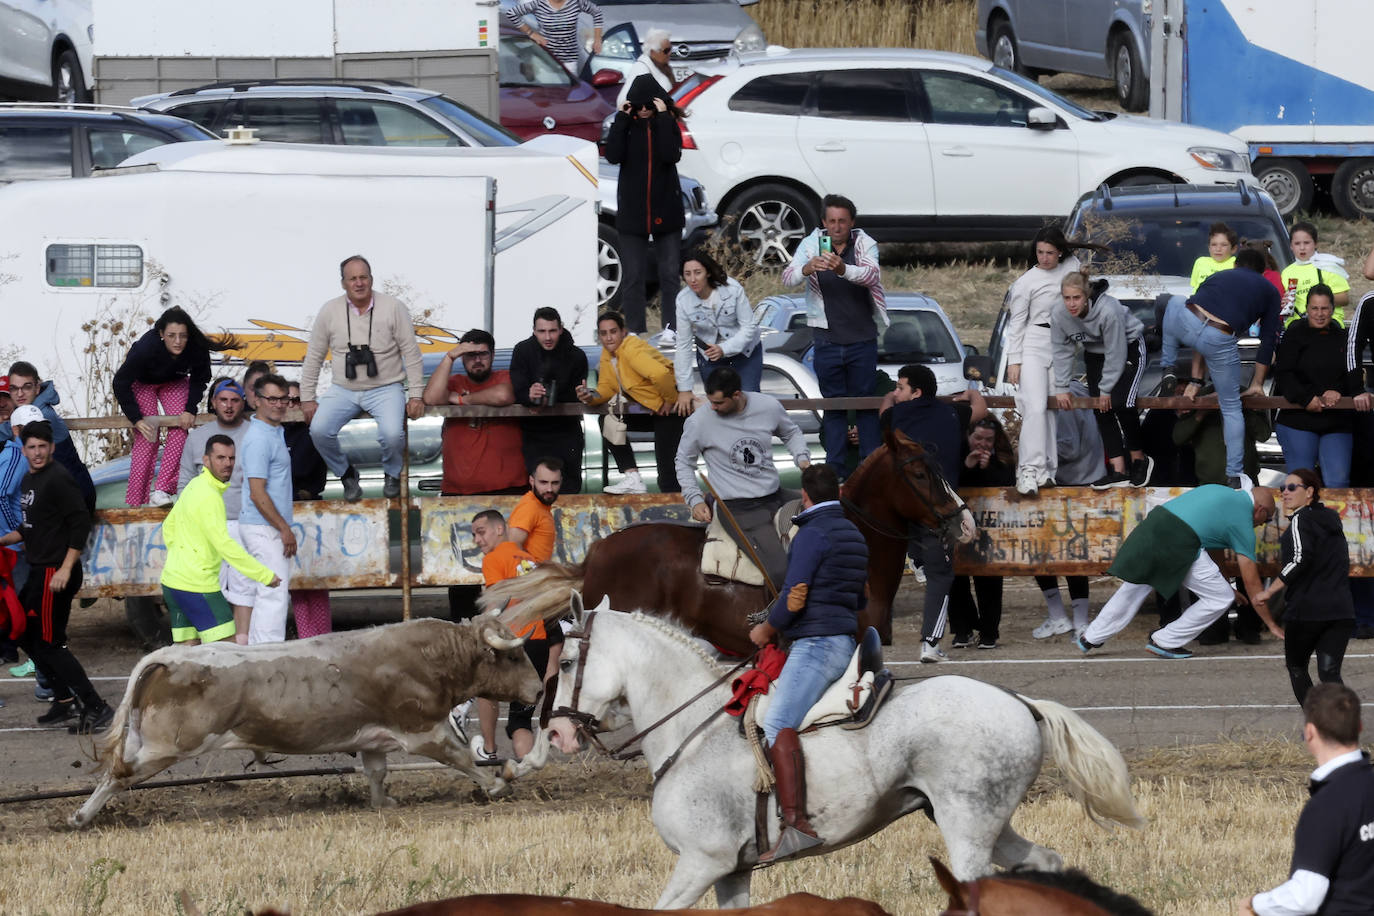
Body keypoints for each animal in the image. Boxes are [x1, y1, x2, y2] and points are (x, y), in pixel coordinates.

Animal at [71, 612, 541, 829]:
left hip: (146, 740)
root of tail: (171, 656)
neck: (432, 657)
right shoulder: (424, 730)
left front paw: (382, 802)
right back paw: (81, 816)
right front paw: (498, 781)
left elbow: (376, 772)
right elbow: (463, 758)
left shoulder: (373, 737)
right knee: (117, 775)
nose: (538, 691)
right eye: (514, 657)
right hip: (165, 746)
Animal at [541, 601, 1143, 911]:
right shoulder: (730, 872)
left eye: (567, 661)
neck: (692, 732)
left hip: (968, 826)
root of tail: (1020, 701)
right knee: (1044, 865)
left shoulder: (700, 862)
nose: (556, 735)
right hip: (985, 822)